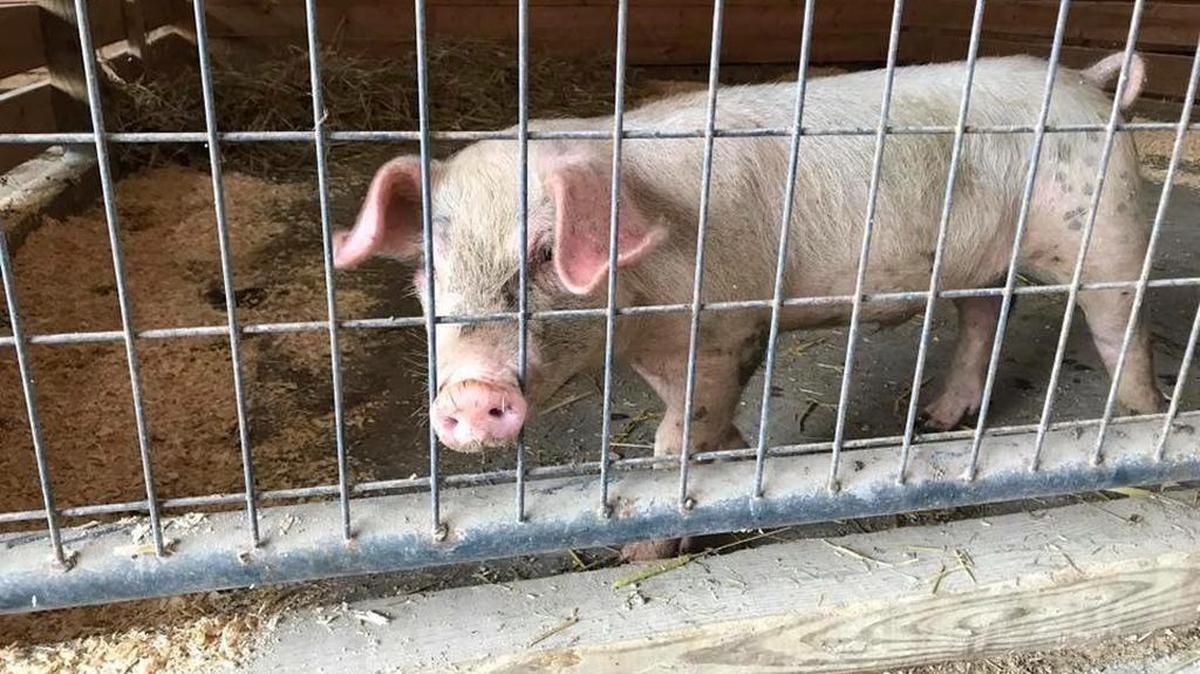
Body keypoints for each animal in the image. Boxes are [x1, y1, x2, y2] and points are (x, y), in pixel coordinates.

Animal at [333, 52, 1165, 561]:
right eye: (428, 267)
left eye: (543, 253)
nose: (471, 392)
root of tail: (1090, 82)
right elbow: (693, 423)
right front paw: (731, 456)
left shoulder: (720, 330)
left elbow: (673, 441)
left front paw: (640, 550)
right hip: (977, 265)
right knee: (984, 317)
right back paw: (936, 419)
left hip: (1109, 225)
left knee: (1122, 327)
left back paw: (1137, 424)